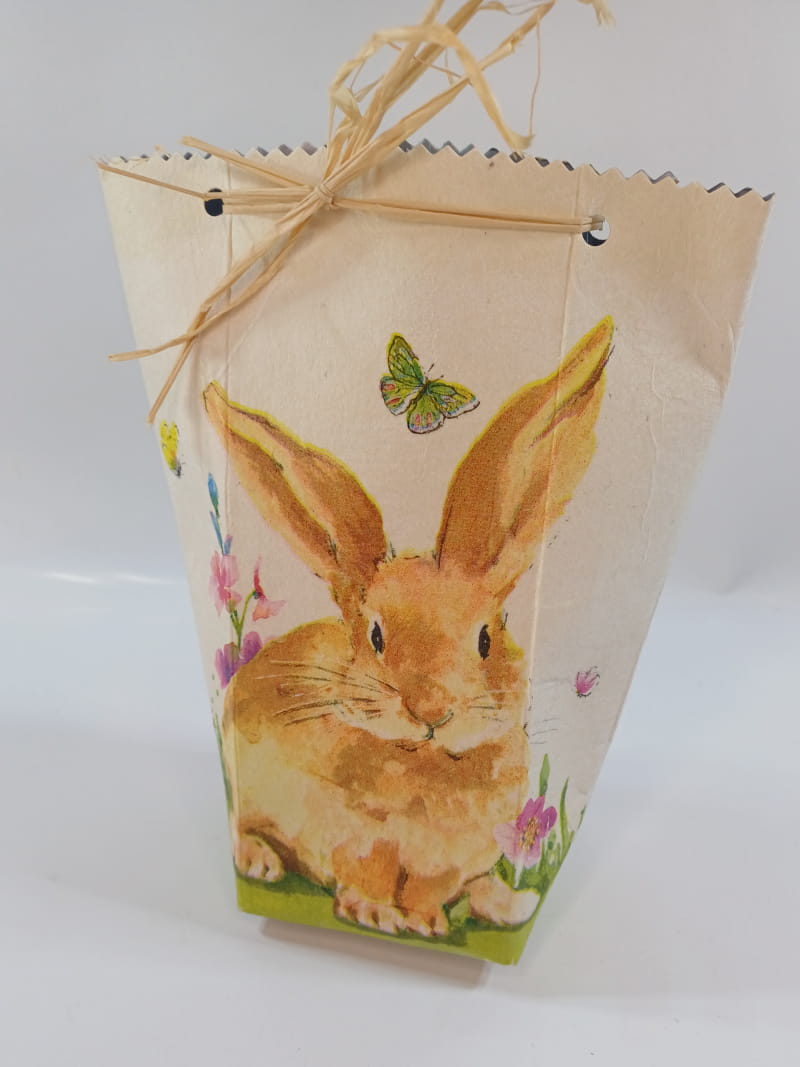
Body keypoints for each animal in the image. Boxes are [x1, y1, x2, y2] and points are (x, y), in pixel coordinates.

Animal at [203, 315, 613, 938]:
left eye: (486, 638)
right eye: (375, 636)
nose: (431, 709)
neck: (429, 764)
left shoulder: (451, 862)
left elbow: (429, 890)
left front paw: (425, 925)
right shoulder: (353, 840)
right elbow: (368, 874)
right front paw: (375, 914)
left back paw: (509, 903)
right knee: (243, 827)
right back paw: (259, 861)